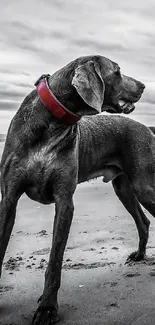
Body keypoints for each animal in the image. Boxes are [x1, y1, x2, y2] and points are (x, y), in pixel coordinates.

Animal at [0, 54, 147, 322]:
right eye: (117, 71)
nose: (143, 86)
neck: (52, 123)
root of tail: (147, 128)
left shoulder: (64, 201)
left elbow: (55, 260)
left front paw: (47, 308)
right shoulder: (8, 199)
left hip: (144, 184)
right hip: (124, 188)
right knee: (143, 220)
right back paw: (140, 255)